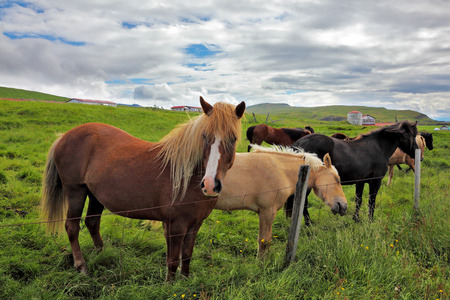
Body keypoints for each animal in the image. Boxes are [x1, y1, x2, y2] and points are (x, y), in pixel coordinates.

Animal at [41, 96, 246, 282]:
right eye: (204, 137)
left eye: (233, 139)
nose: (210, 185)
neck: (187, 176)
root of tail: (64, 136)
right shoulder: (175, 226)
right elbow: (173, 260)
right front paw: (170, 286)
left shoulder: (195, 224)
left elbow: (187, 255)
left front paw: (186, 281)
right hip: (76, 192)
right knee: (72, 227)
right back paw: (81, 266)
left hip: (95, 196)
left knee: (92, 223)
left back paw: (102, 254)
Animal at [216, 145, 346, 255]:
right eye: (337, 179)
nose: (344, 206)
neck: (281, 171)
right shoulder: (267, 213)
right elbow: (264, 241)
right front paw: (262, 265)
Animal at [286, 120, 420, 223]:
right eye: (412, 136)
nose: (417, 152)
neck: (377, 148)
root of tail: (298, 144)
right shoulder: (375, 182)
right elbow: (371, 201)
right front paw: (370, 220)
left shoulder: (360, 182)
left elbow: (358, 200)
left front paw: (356, 219)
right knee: (303, 203)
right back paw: (309, 225)